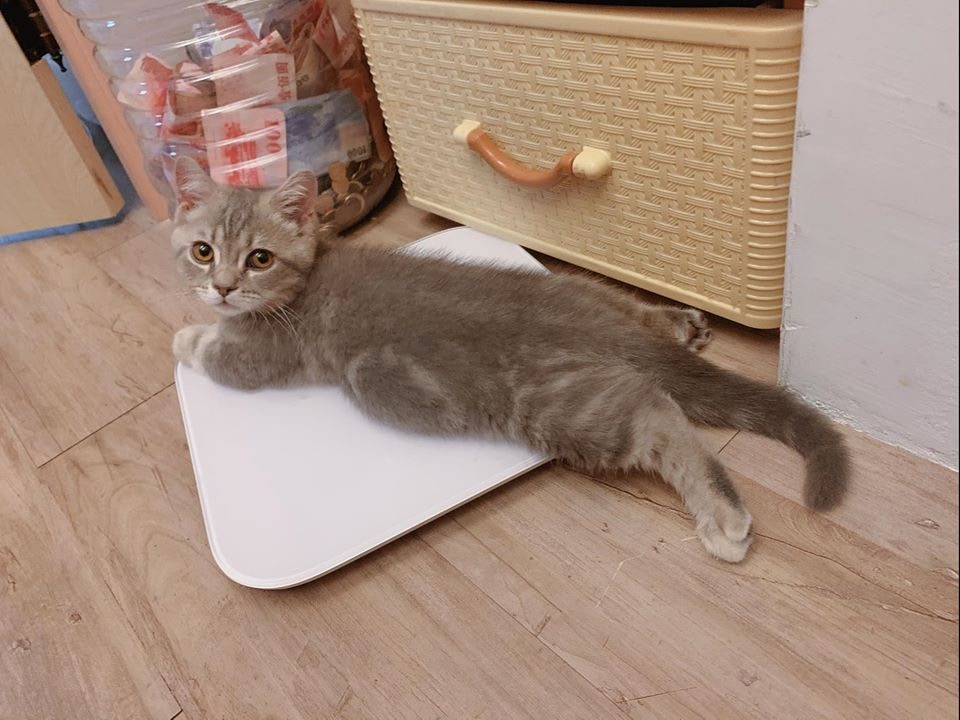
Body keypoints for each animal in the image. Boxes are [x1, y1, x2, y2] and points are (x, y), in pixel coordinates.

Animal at [170, 157, 849, 563]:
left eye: (258, 258)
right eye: (202, 250)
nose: (221, 287)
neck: (309, 272)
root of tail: (596, 324)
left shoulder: (262, 354)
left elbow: (214, 352)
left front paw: (182, 338)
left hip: (553, 404)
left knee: (658, 415)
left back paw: (723, 516)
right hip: (582, 292)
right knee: (631, 314)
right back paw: (679, 323)